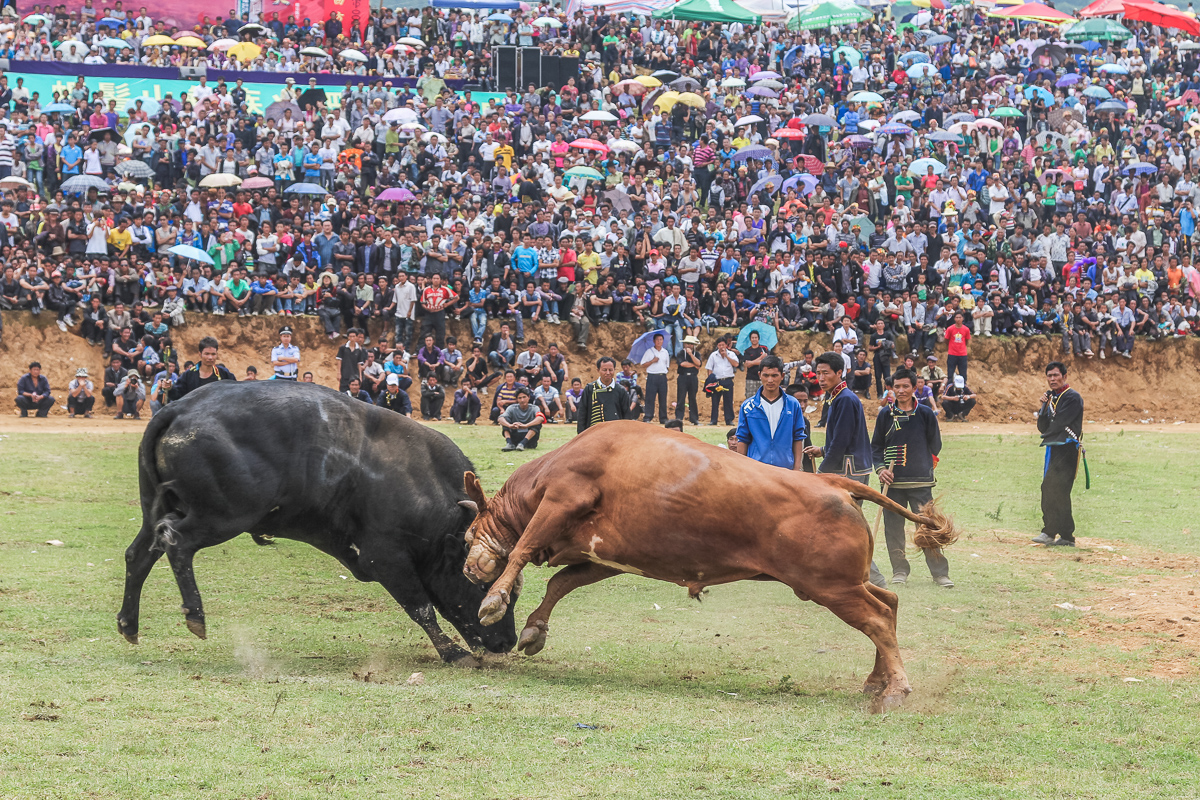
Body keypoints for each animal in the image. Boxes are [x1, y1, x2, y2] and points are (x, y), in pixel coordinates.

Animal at [117, 381, 520, 662]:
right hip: (221, 517)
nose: (507, 641)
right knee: (175, 542)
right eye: (485, 584)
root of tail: (181, 407)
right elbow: (421, 608)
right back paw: (195, 615)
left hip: (158, 509)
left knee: (139, 553)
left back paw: (128, 623)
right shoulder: (386, 558)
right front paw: (452, 651)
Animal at [458, 422, 955, 710]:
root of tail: (832, 482)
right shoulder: (607, 558)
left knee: (877, 618)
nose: (466, 570)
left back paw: (896, 688)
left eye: (468, 534)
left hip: (831, 587)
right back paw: (877, 679)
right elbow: (561, 583)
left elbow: (522, 549)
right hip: (841, 584)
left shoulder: (562, 499)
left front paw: (495, 599)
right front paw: (535, 628)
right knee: (889, 603)